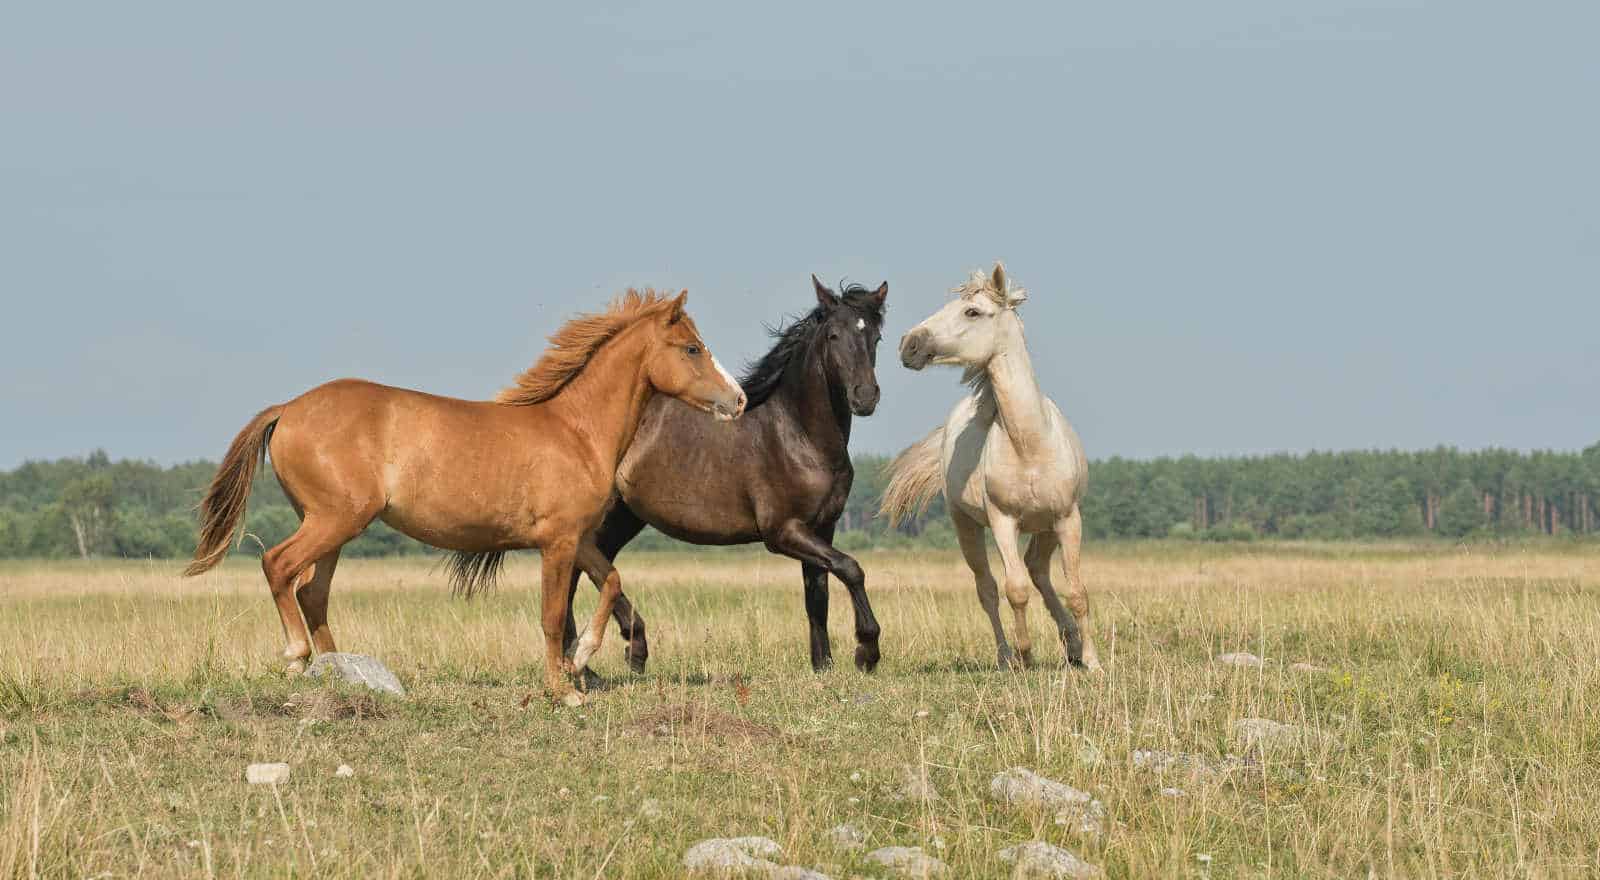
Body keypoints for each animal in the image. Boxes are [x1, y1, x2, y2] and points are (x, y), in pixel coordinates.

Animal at [183, 289, 746, 697]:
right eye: (692, 348)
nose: (738, 400)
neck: (576, 431)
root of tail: (288, 408)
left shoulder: (578, 539)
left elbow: (611, 582)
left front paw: (583, 657)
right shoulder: (557, 543)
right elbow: (551, 616)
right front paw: (563, 689)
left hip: (334, 528)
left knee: (311, 591)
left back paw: (341, 671)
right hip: (333, 519)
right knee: (278, 566)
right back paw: (297, 658)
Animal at [562, 276, 888, 673]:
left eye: (875, 336)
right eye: (833, 335)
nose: (865, 396)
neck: (799, 435)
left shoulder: (822, 527)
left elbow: (818, 595)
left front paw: (823, 665)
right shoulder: (783, 531)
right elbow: (850, 568)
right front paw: (866, 651)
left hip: (624, 516)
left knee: (591, 566)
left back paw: (598, 659)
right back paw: (607, 654)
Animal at [880, 263, 1099, 670]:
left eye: (972, 311)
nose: (909, 344)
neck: (1030, 445)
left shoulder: (1068, 518)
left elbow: (1077, 590)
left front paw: (1093, 661)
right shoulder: (1002, 521)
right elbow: (1015, 589)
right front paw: (1025, 656)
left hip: (1046, 527)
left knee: (1038, 569)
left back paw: (1072, 644)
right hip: (966, 525)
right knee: (989, 589)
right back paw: (1006, 655)